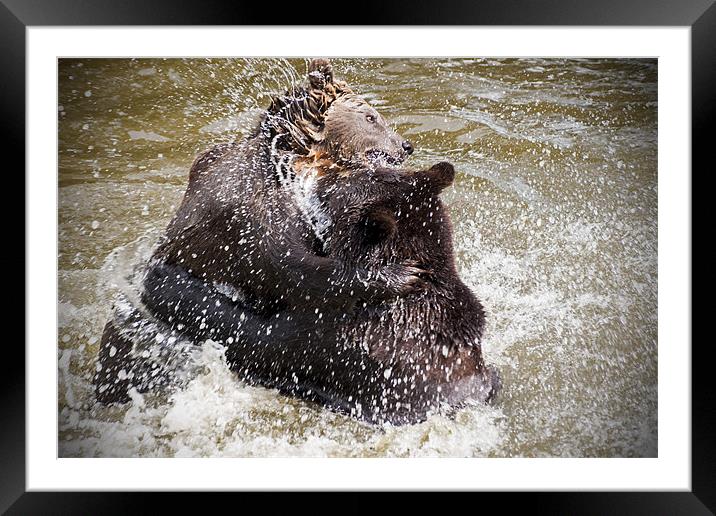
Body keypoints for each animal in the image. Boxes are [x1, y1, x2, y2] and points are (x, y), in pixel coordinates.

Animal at [144, 163, 504, 426]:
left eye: (334, 188)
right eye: (358, 170)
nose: (318, 176)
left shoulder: (339, 340)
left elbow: (253, 334)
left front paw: (166, 279)